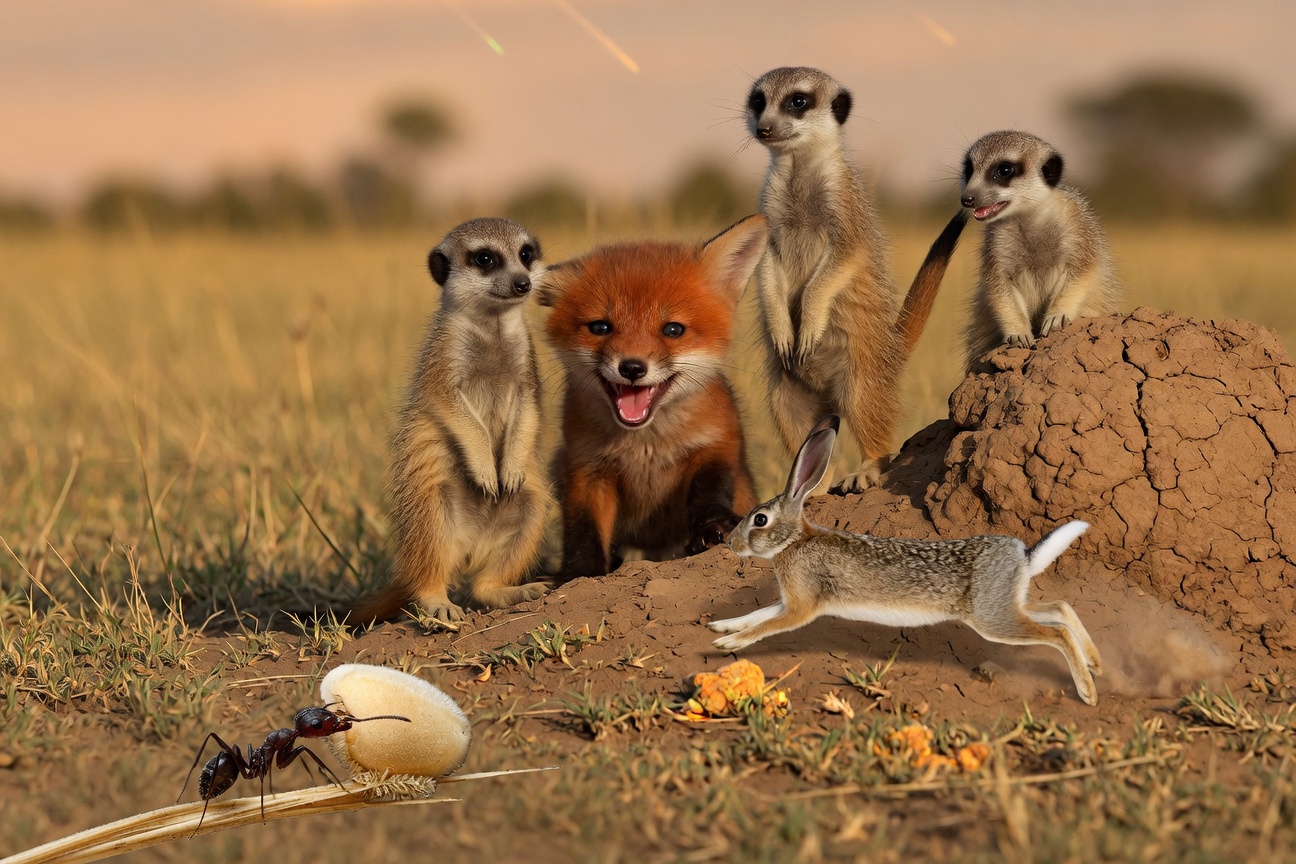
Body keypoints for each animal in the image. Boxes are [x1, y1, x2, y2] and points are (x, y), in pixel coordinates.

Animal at [538, 215, 769, 581]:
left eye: (673, 330)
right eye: (600, 327)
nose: (632, 367)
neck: (646, 445)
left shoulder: (716, 444)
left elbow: (710, 490)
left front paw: (713, 527)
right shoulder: (585, 468)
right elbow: (583, 527)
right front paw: (579, 573)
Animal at [710, 414, 1103, 706]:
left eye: (760, 520)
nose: (731, 543)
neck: (793, 541)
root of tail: (1021, 555)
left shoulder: (801, 607)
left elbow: (766, 625)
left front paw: (730, 645)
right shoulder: (789, 601)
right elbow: (757, 614)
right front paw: (720, 629)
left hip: (992, 619)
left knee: (1056, 633)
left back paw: (1088, 691)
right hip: (1005, 606)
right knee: (1059, 608)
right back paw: (1095, 663)